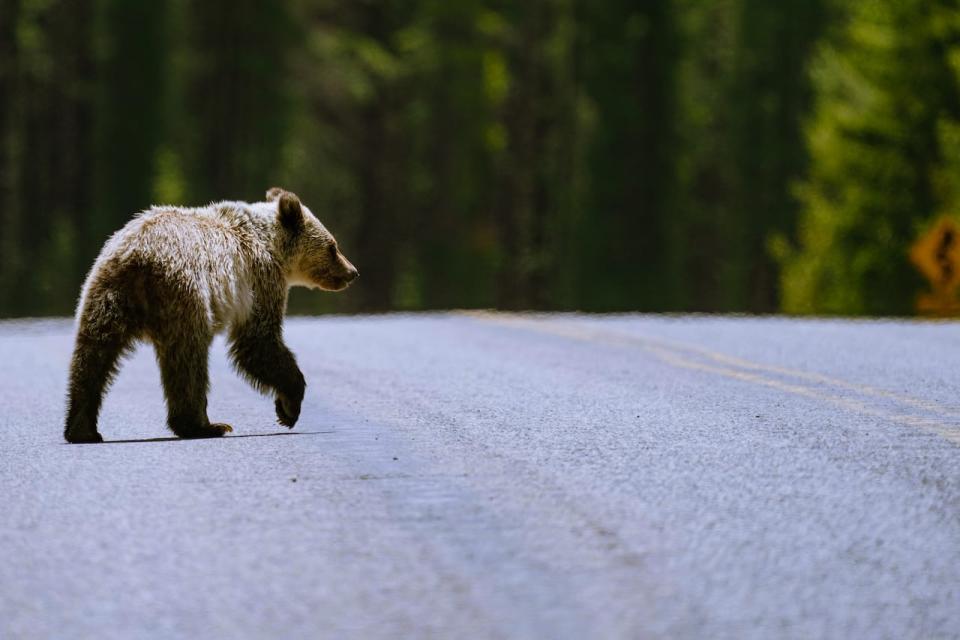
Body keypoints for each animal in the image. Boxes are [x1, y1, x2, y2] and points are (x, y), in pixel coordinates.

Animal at [63, 188, 358, 442]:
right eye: (333, 247)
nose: (352, 272)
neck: (269, 242)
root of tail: (138, 259)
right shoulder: (259, 281)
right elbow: (259, 342)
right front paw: (289, 407)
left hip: (104, 294)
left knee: (92, 356)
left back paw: (81, 428)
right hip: (185, 293)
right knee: (189, 360)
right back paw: (205, 425)